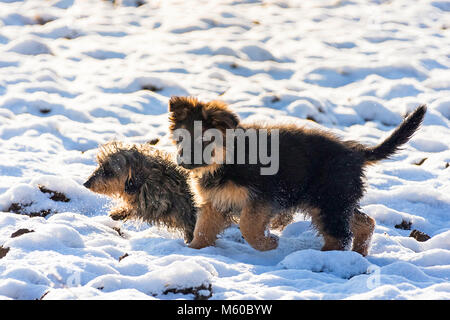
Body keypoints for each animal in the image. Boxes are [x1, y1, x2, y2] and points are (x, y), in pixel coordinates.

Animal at [168, 96, 426, 256]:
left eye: (205, 141)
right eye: (180, 139)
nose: (183, 163)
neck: (227, 160)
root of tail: (355, 152)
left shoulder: (263, 197)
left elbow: (248, 227)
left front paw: (268, 243)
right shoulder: (215, 202)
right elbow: (203, 230)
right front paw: (193, 251)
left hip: (329, 201)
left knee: (340, 236)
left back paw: (326, 259)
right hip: (333, 201)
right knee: (365, 223)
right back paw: (358, 255)